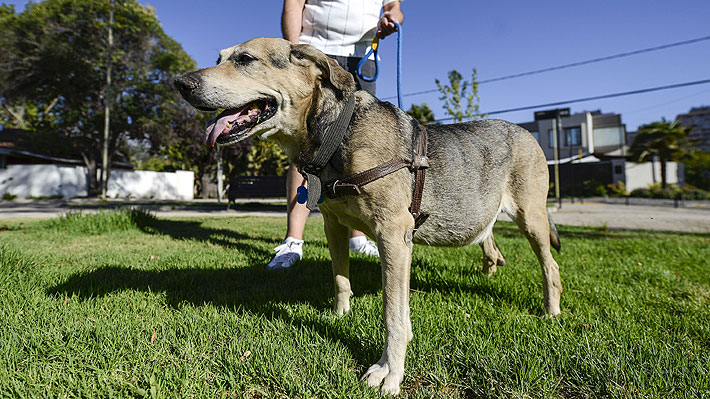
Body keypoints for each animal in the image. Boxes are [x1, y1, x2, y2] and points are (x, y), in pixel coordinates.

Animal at [175, 38, 564, 396]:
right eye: (219, 58)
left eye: (245, 59)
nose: (180, 83)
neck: (336, 135)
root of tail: (528, 133)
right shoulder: (333, 225)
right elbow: (341, 280)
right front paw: (340, 315)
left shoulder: (394, 235)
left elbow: (392, 314)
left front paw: (390, 371)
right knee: (492, 246)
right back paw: (490, 271)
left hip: (531, 218)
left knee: (551, 267)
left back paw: (551, 310)